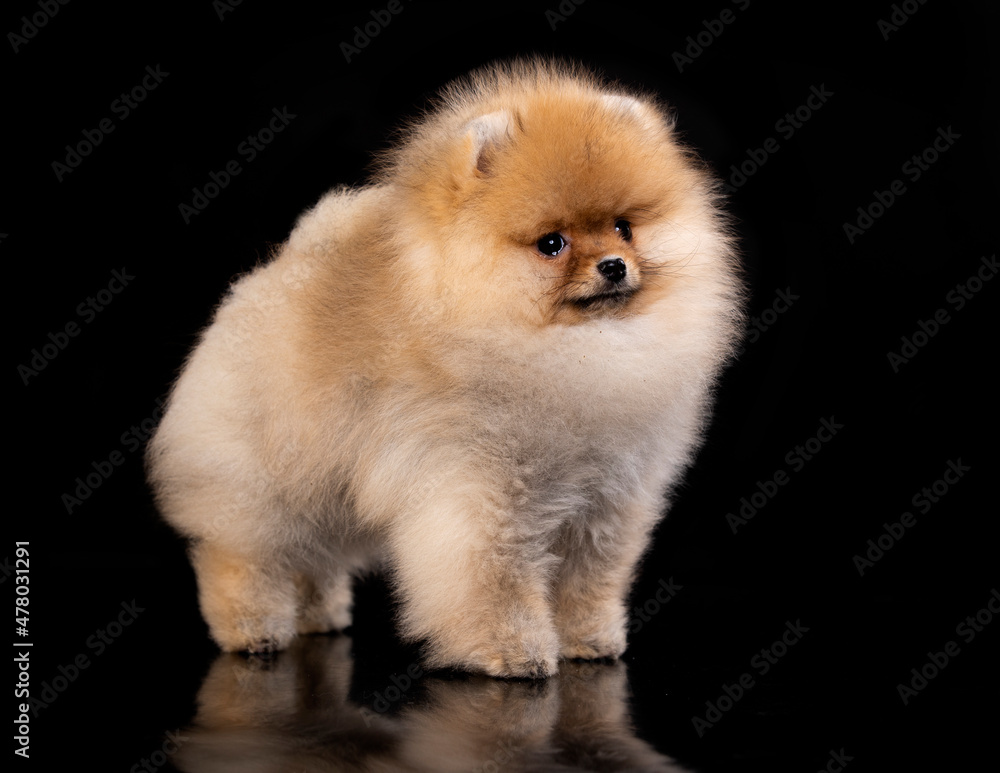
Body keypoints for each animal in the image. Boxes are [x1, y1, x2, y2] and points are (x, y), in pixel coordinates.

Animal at [146, 58, 744, 676]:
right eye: (552, 244)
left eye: (624, 227)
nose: (613, 265)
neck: (575, 351)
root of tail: (271, 278)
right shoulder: (482, 492)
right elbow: (494, 578)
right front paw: (516, 650)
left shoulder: (609, 498)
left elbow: (589, 579)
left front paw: (588, 639)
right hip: (265, 481)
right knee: (244, 555)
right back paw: (254, 627)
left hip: (326, 484)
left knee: (316, 551)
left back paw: (321, 614)